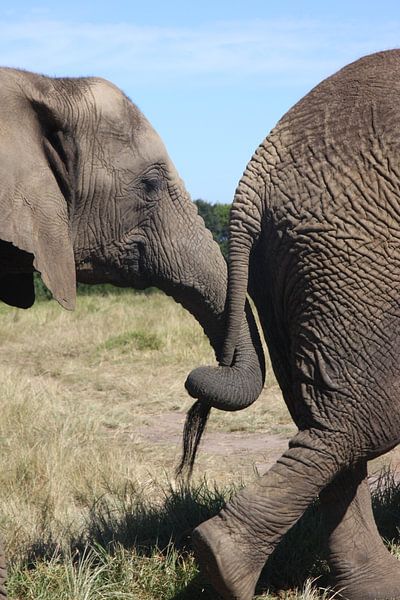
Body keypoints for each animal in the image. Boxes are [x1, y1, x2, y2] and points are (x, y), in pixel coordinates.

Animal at [181, 48, 400, 600]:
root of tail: (258, 171)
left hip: (293, 267)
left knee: (325, 419)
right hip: (357, 260)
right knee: (358, 422)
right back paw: (224, 562)